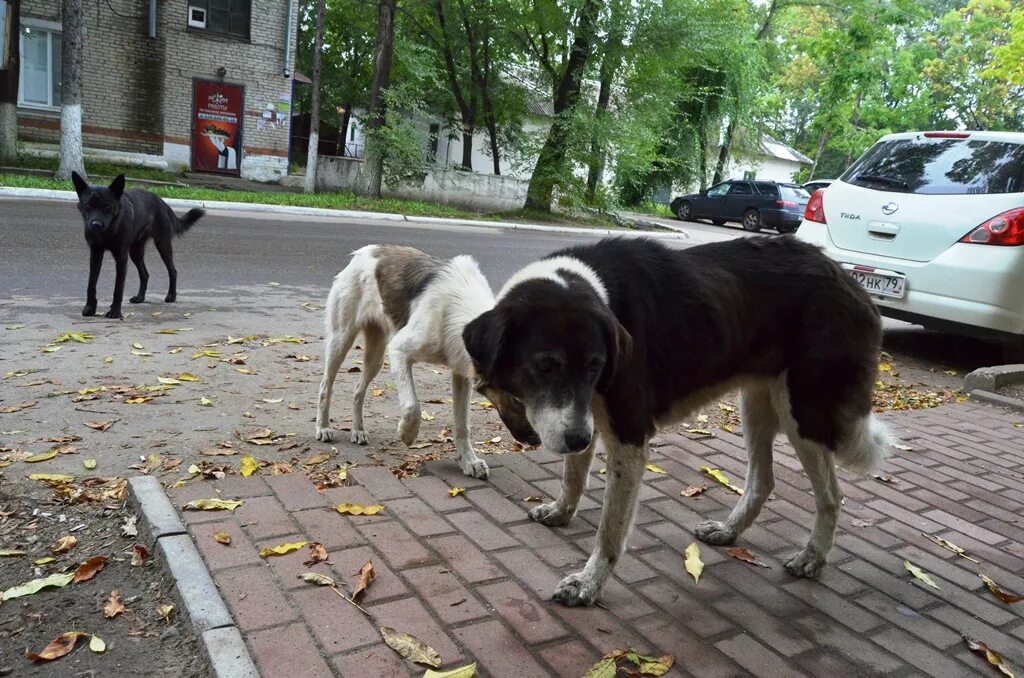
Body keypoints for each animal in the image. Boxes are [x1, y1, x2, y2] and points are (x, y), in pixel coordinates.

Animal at [71, 170, 203, 319]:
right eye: (88, 206)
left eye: (107, 207)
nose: (95, 225)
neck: (109, 230)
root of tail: (162, 202)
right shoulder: (95, 254)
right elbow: (91, 283)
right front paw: (90, 308)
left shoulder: (121, 257)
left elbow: (118, 287)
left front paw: (115, 311)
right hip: (135, 251)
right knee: (145, 274)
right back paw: (140, 298)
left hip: (162, 245)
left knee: (172, 271)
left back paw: (171, 296)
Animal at [313, 244, 501, 477]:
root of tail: (365, 251)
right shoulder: (399, 351)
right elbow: (412, 406)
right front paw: (407, 434)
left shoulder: (461, 372)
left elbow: (462, 425)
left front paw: (469, 461)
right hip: (341, 340)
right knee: (325, 386)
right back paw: (323, 427)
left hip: (376, 355)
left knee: (358, 390)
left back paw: (358, 430)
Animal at [464, 236, 888, 606]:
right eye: (545, 366)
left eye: (595, 366)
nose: (578, 440)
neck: (602, 291)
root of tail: (851, 282)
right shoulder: (585, 419)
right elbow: (573, 475)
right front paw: (561, 511)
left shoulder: (627, 437)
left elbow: (610, 529)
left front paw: (589, 583)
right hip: (757, 401)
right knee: (763, 480)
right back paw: (730, 530)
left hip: (802, 410)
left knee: (830, 495)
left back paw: (812, 557)